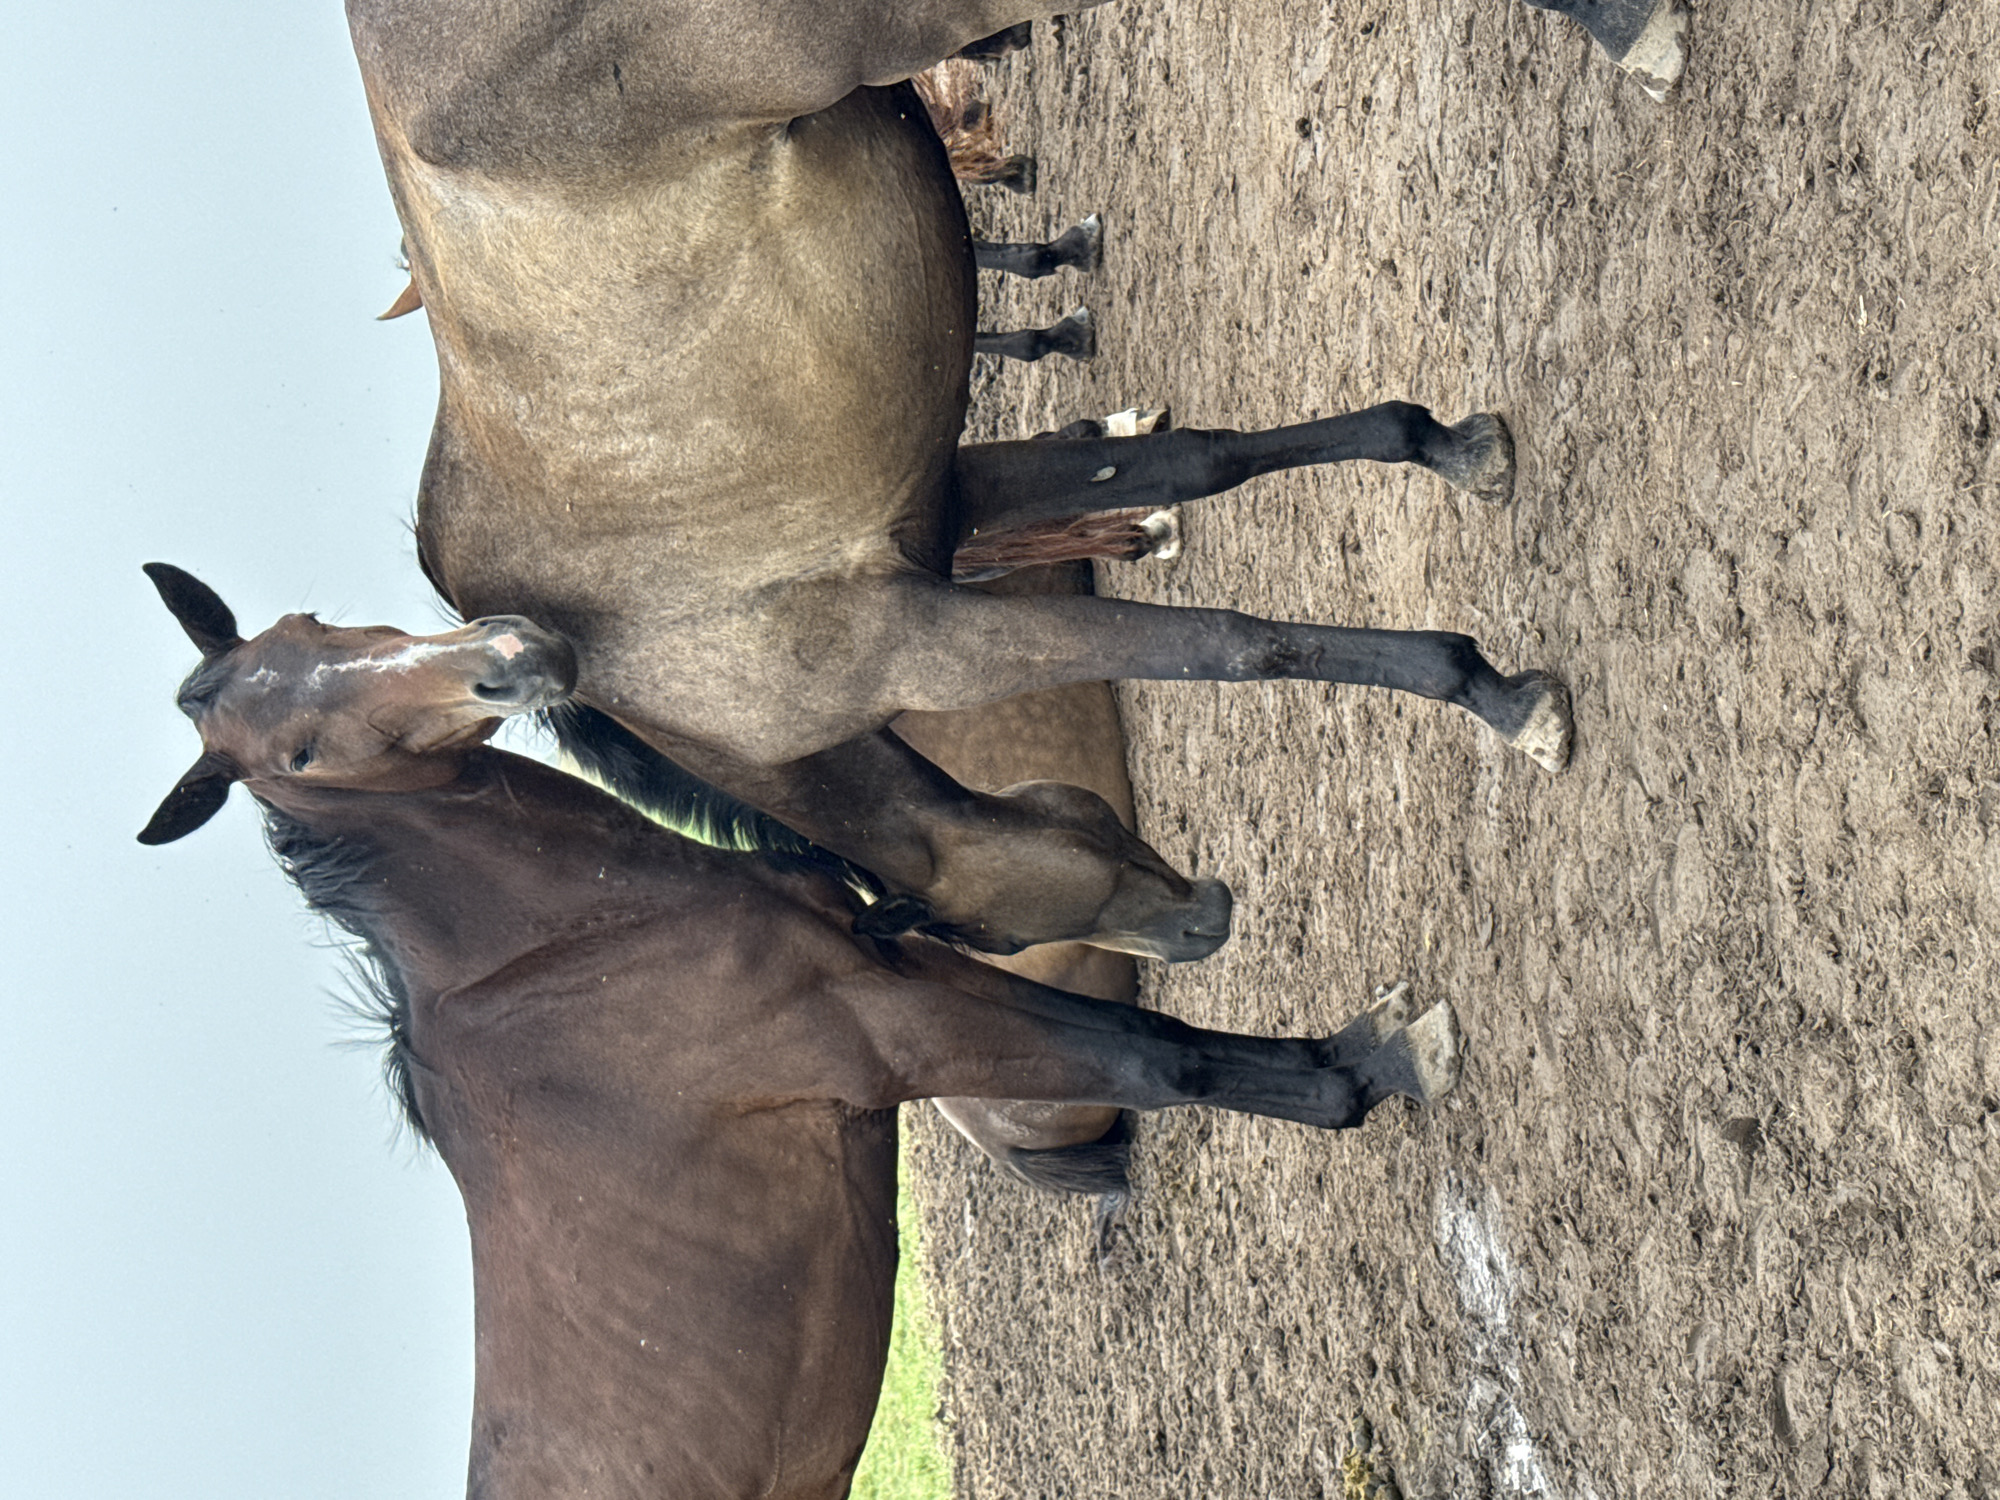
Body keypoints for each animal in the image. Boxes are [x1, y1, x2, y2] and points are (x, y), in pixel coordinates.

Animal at [136, 562, 1463, 1499]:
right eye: (300, 749)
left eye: (313, 627)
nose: (508, 652)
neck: (553, 960)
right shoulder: (894, 1024)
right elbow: (1162, 1061)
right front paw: (1377, 1061)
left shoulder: (896, 976)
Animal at [350, 0, 1582, 967]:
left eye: (988, 938)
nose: (1204, 929)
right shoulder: (958, 507)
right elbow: (1204, 459)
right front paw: (1453, 447)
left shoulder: (937, 642)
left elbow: (1234, 646)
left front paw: (1497, 696)